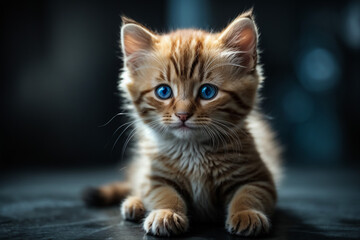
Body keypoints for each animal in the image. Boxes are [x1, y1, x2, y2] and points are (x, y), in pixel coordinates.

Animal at [83, 8, 282, 236]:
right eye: (163, 91)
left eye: (207, 92)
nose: (183, 114)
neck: (193, 152)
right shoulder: (155, 178)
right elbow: (163, 194)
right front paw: (166, 212)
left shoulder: (259, 178)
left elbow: (249, 194)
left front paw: (246, 213)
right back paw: (134, 203)